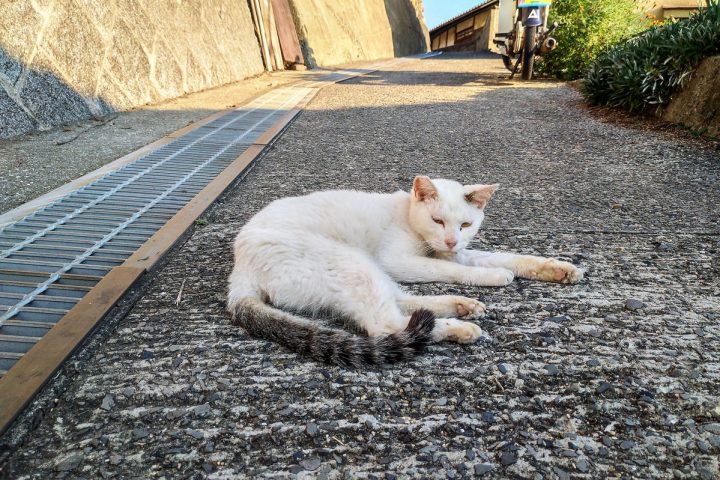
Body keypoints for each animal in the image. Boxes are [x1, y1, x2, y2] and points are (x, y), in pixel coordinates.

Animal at [228, 176, 584, 368]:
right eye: (438, 221)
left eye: (465, 225)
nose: (451, 239)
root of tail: (239, 269)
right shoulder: (397, 260)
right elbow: (449, 268)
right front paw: (494, 276)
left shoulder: (457, 252)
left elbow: (503, 257)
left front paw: (557, 268)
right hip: (351, 261)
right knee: (386, 325)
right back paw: (458, 327)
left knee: (400, 302)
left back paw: (461, 306)